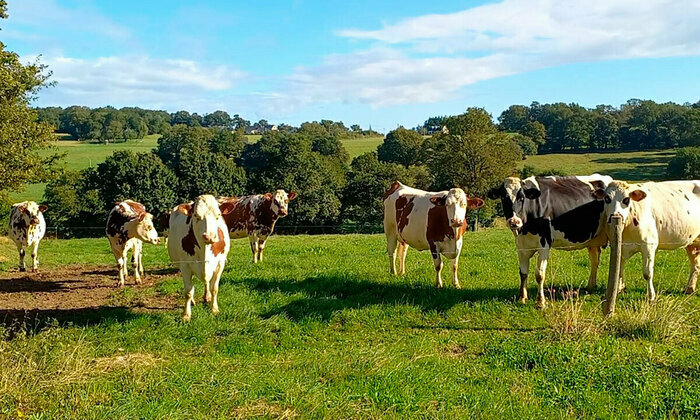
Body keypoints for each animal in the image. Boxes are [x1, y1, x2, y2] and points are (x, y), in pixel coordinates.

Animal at [168, 194, 231, 322]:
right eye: (196, 215)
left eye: (218, 215)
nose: (209, 236)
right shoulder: (185, 266)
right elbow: (188, 291)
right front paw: (186, 315)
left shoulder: (220, 263)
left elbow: (214, 288)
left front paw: (214, 309)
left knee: (207, 283)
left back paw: (207, 297)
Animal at [486, 175, 612, 308]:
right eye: (504, 197)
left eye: (522, 198)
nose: (514, 222)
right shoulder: (521, 246)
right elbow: (523, 273)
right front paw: (522, 298)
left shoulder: (544, 244)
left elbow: (539, 274)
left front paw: (541, 302)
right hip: (593, 239)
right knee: (595, 260)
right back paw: (590, 286)